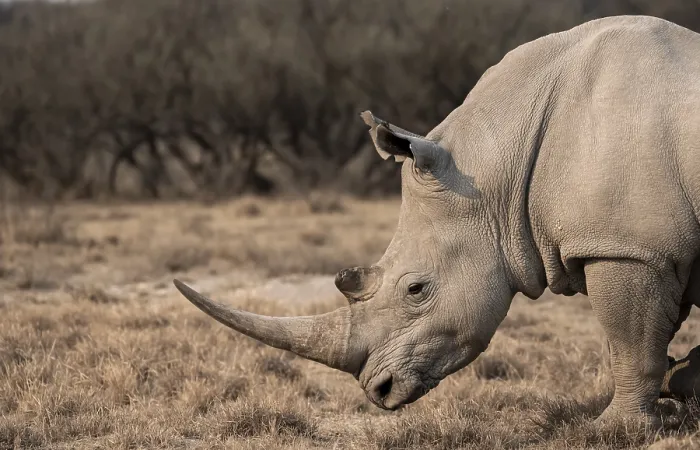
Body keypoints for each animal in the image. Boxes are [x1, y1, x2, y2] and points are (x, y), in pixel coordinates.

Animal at [173, 15, 700, 426]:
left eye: (416, 289)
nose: (379, 391)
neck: (493, 170)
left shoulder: (628, 248)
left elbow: (629, 343)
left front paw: (615, 427)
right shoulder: (652, 247)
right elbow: (647, 337)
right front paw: (682, 382)